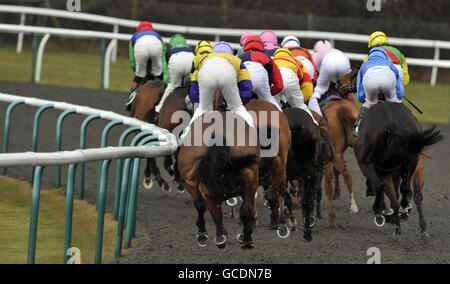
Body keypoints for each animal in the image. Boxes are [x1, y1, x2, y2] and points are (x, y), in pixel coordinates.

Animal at [356, 102, 442, 235]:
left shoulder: (379, 170)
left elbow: (388, 193)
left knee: (383, 188)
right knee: (409, 190)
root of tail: (391, 124)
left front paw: (387, 215)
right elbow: (401, 193)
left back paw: (383, 213)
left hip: (368, 163)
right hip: (411, 162)